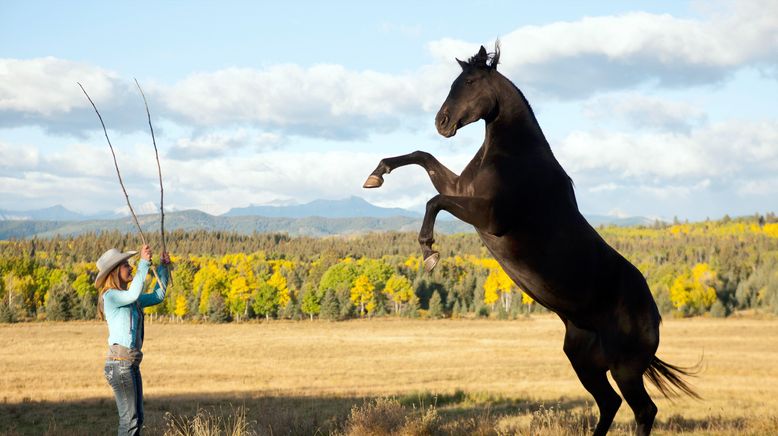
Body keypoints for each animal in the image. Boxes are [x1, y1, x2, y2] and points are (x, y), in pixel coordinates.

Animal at [364, 45, 696, 436]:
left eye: (471, 82)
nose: (441, 122)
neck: (515, 156)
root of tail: (654, 314)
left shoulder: (490, 216)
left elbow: (435, 201)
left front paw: (429, 252)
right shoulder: (462, 189)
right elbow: (423, 157)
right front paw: (376, 175)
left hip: (624, 368)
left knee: (643, 409)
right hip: (584, 361)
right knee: (610, 403)